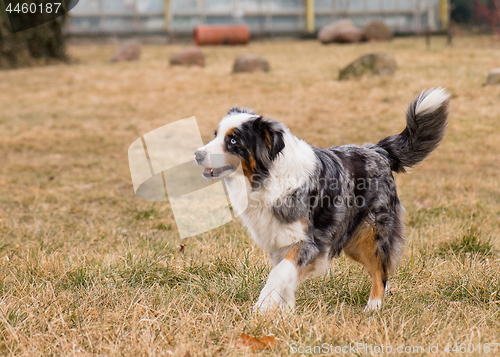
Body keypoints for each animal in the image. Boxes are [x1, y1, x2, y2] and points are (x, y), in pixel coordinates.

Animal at [194, 89, 450, 312]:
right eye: (215, 135)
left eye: (233, 141)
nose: (196, 154)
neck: (268, 178)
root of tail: (377, 150)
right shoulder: (279, 242)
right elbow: (285, 279)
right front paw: (284, 314)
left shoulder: (309, 242)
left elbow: (277, 274)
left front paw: (261, 308)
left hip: (370, 234)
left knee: (380, 271)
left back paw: (373, 307)